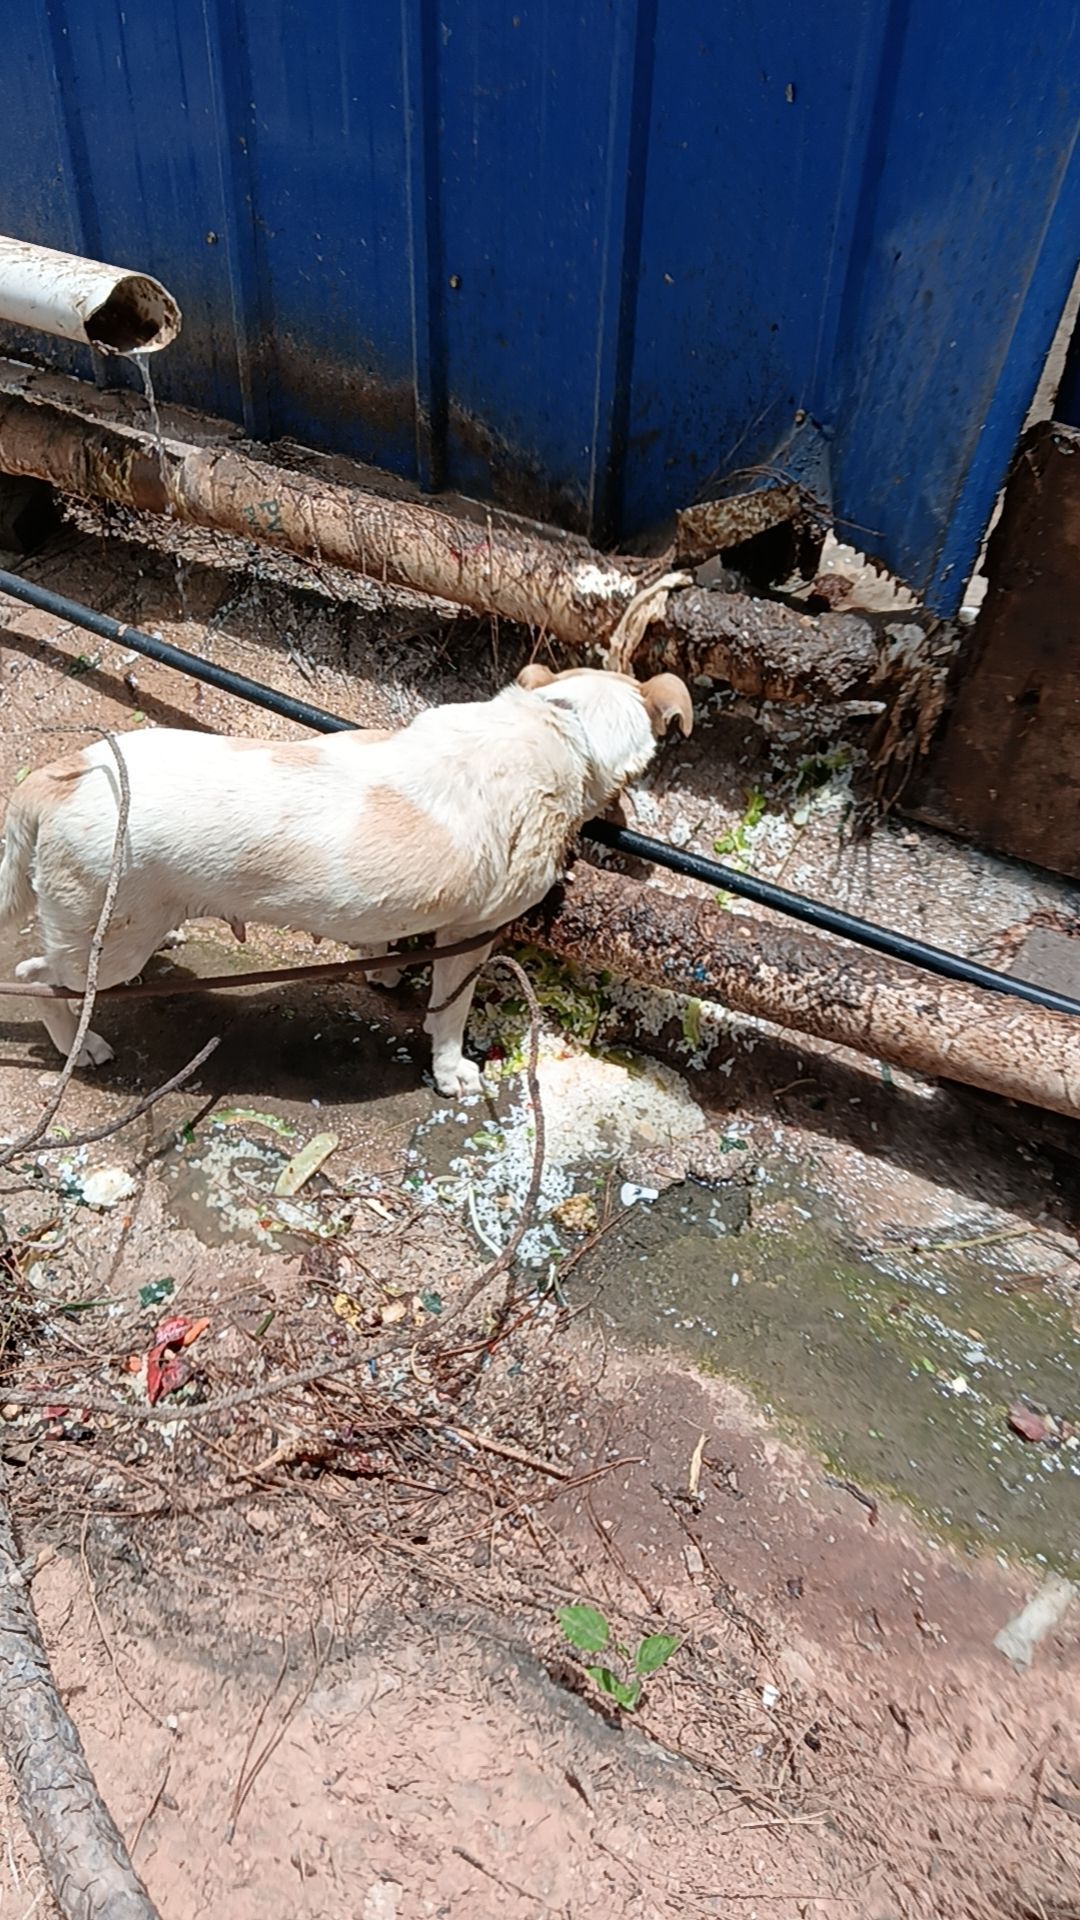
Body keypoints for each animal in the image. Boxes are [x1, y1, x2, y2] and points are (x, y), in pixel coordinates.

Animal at [0, 664, 687, 1090]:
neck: (558, 725)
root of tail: (59, 775)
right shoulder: (471, 935)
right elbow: (450, 1016)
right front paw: (450, 1072)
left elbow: (382, 941)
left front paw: (381, 969)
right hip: (102, 944)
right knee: (36, 978)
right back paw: (79, 1045)